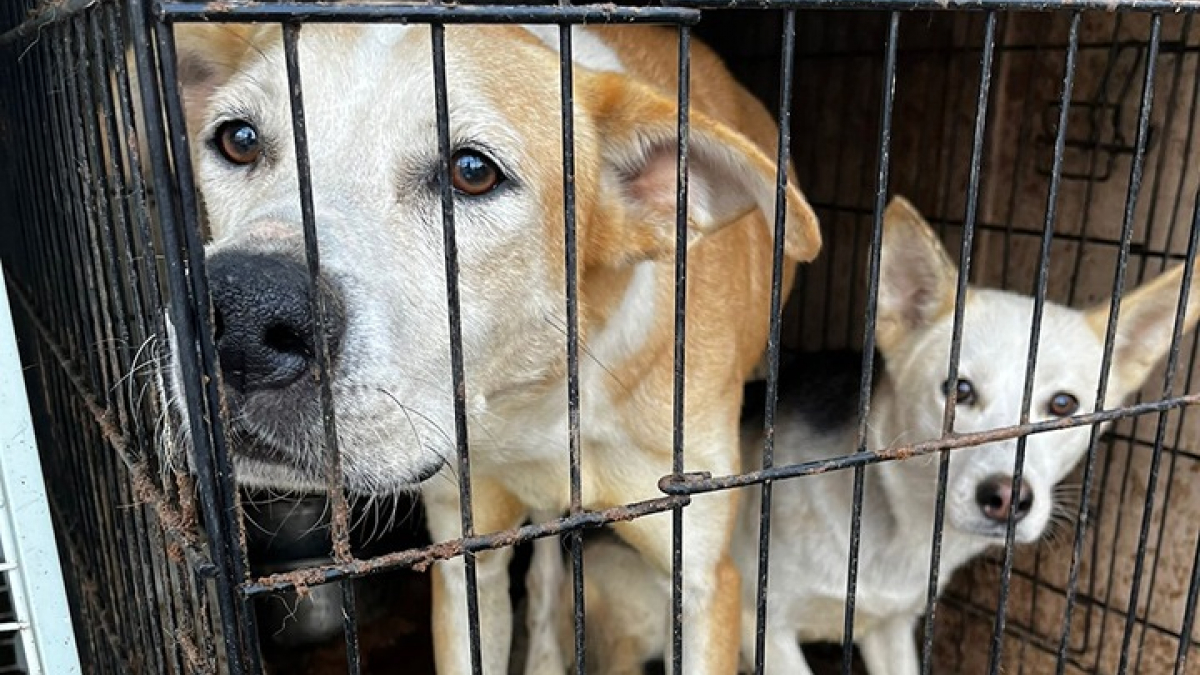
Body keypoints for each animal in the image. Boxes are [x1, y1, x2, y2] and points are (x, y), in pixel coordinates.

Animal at [174, 23, 820, 667]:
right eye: (238, 139)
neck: (534, 399)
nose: (242, 317)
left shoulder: (703, 578)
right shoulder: (465, 558)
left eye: (472, 171)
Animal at [544, 193, 1200, 672]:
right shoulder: (764, 626)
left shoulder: (889, 628)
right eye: (959, 390)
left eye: (1063, 405)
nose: (1006, 496)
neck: (894, 529)